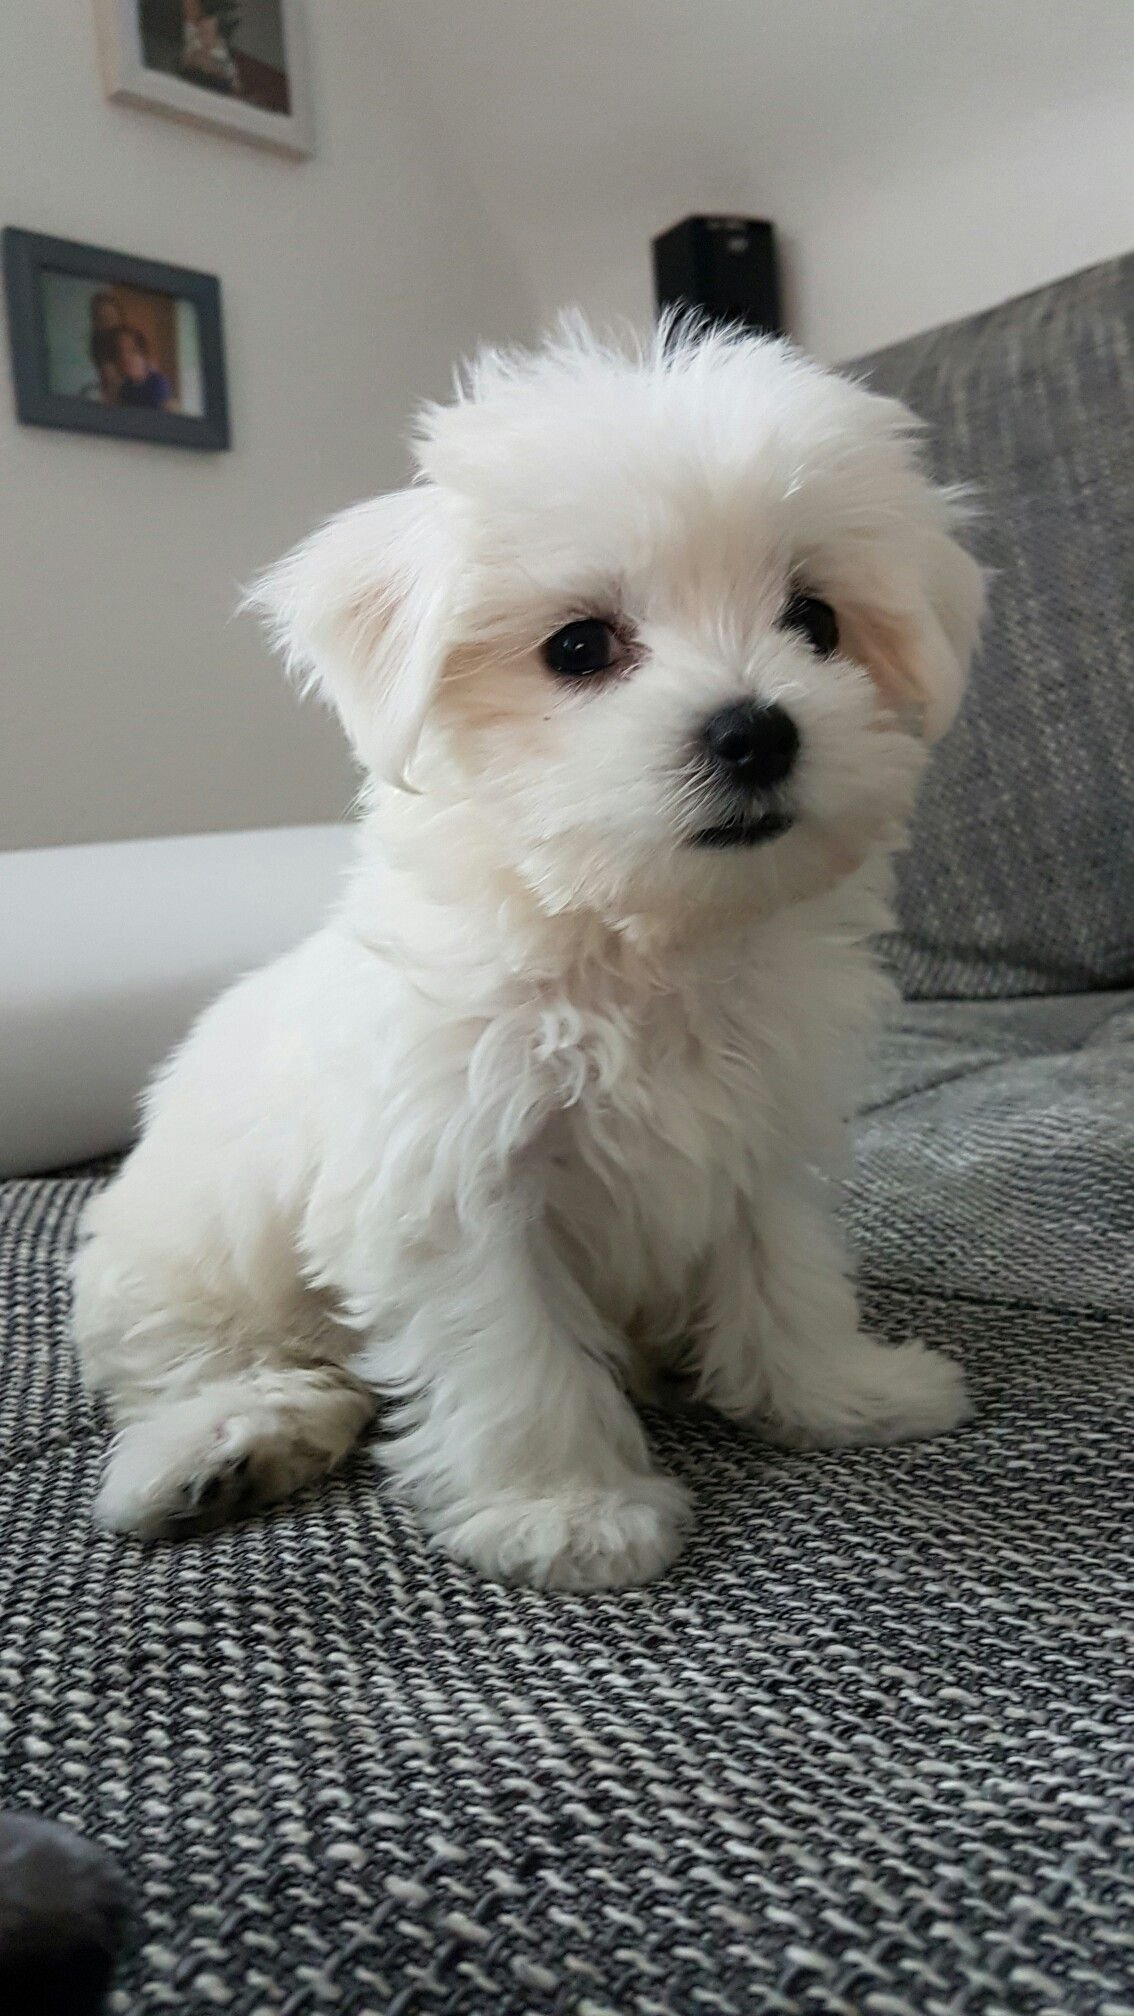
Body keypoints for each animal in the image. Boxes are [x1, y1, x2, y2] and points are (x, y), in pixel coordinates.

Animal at [71, 317, 984, 1590]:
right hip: (175, 1251)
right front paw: (566, 1509)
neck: (637, 935)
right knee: (188, 1360)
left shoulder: (760, 1132)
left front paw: (836, 1391)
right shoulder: (452, 1178)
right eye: (580, 646)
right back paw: (220, 1446)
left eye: (816, 621)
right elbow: (511, 1351)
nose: (756, 731)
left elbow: (784, 1270)